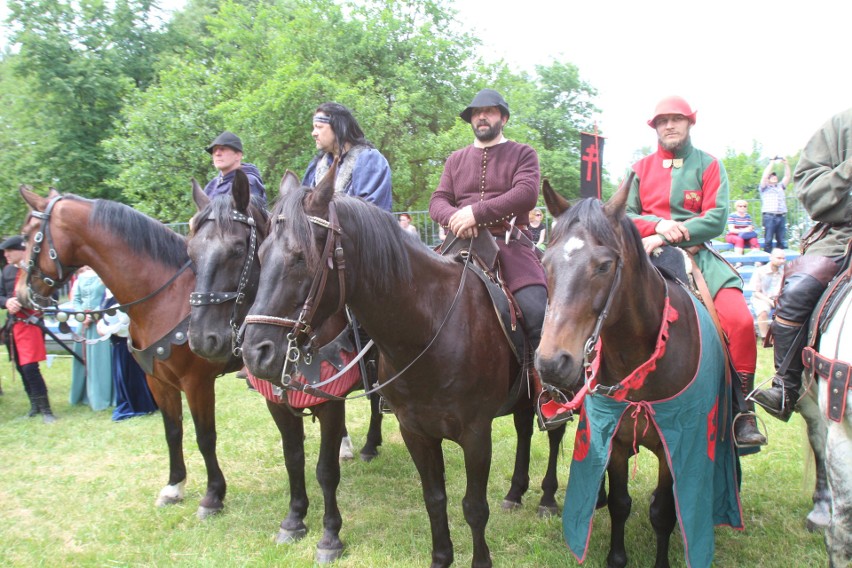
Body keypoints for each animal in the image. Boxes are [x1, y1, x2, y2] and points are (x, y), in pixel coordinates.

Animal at [20, 186, 233, 520]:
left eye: (28, 235)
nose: (21, 294)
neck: (168, 297)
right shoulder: (158, 381)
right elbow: (173, 431)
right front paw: (174, 487)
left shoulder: (196, 382)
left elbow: (205, 437)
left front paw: (213, 495)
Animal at [238, 160, 564, 568]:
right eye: (260, 254)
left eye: (300, 257)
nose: (255, 352)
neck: (430, 327)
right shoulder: (416, 431)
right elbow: (434, 499)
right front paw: (441, 558)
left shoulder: (476, 434)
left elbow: (474, 507)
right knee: (523, 429)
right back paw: (516, 492)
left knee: (552, 434)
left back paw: (547, 498)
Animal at [536, 178, 744, 568]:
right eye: (545, 262)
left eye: (604, 265)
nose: (551, 363)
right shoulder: (615, 439)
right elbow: (620, 504)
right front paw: (616, 556)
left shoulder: (674, 443)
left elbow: (663, 512)